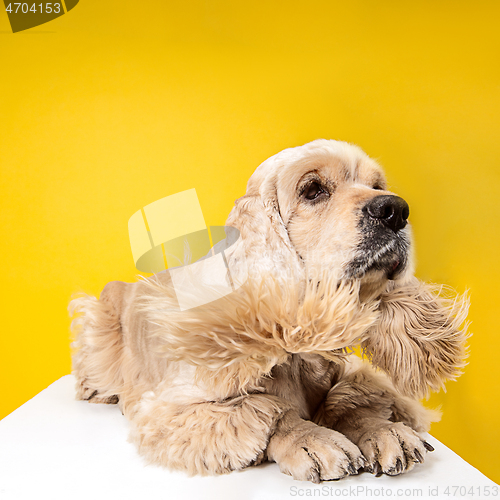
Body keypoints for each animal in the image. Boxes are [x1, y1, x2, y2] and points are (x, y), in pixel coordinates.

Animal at [69, 139, 468, 482]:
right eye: (313, 190)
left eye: (376, 185)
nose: (395, 210)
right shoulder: (172, 410)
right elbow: (266, 409)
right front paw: (311, 439)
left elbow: (354, 395)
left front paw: (383, 430)